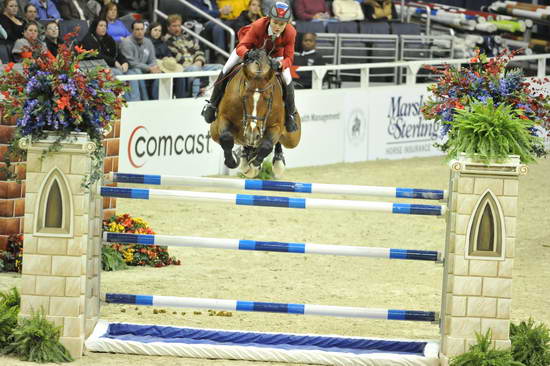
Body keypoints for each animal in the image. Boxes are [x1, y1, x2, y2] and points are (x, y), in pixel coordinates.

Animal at [209, 48, 302, 179]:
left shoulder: (276, 126)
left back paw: (275, 159)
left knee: (279, 142)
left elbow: (267, 145)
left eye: (268, 99)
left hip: (292, 139)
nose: (252, 133)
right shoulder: (223, 118)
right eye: (244, 97)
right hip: (214, 131)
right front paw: (233, 160)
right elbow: (226, 137)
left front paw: (254, 166)